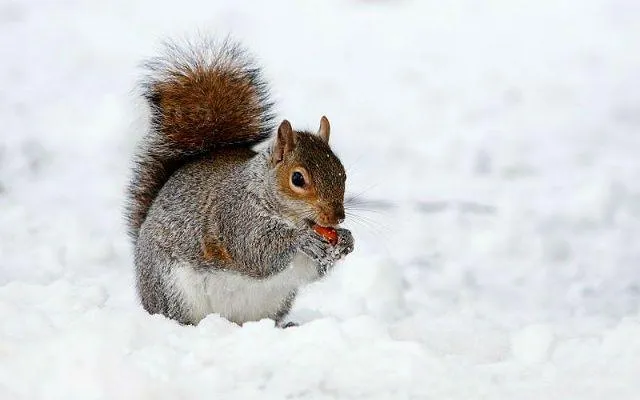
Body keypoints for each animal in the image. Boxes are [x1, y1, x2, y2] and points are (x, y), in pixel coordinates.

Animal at [125, 38, 356, 328]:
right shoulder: (235, 216)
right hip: (172, 289)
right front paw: (302, 239)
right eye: (297, 178)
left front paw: (346, 240)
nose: (337, 218)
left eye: (343, 173)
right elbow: (256, 252)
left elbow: (312, 270)